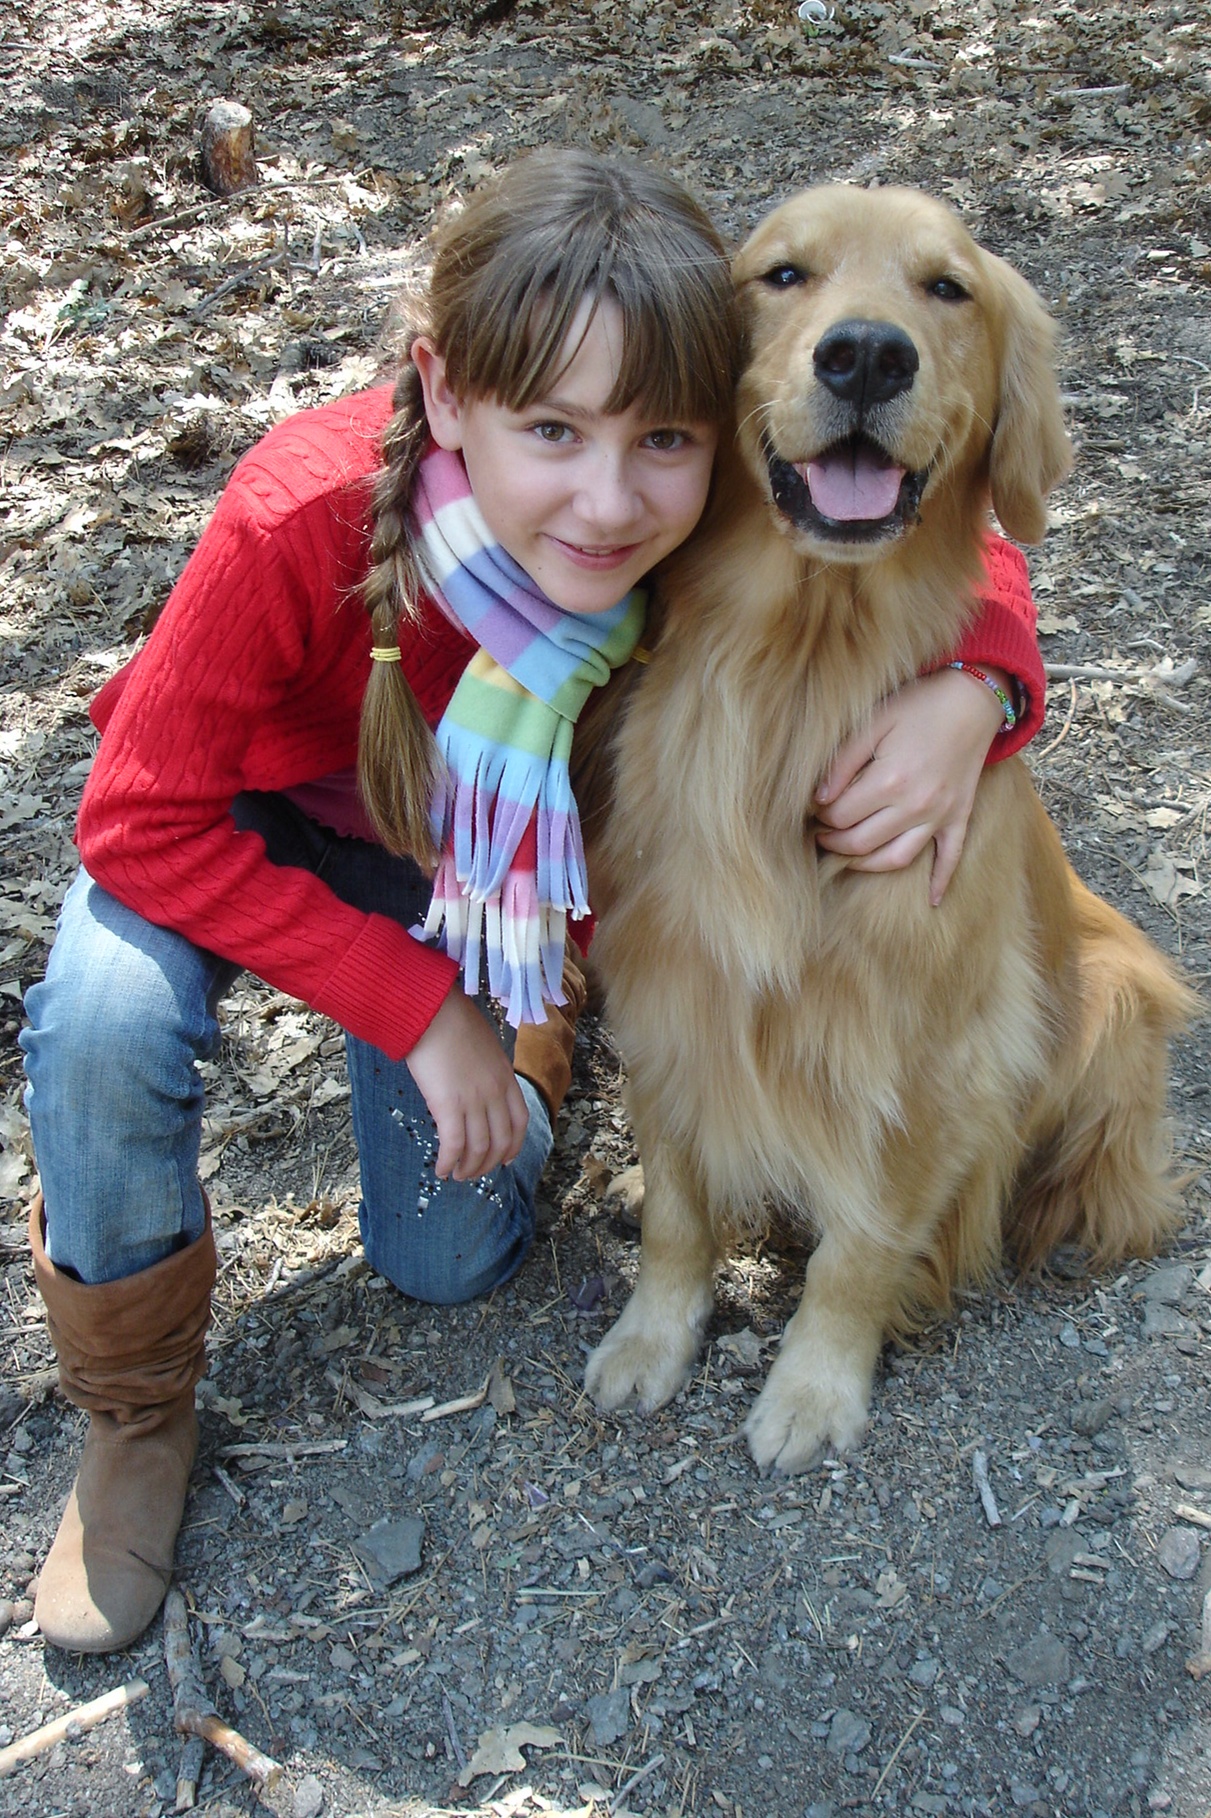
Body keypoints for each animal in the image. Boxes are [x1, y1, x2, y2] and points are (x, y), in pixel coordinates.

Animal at [581, 188, 1192, 1476]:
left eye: (944, 287)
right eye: (781, 274)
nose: (864, 353)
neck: (802, 664)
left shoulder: (933, 1046)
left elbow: (857, 1249)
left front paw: (814, 1387)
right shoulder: (667, 989)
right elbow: (676, 1207)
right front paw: (652, 1334)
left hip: (1115, 999)